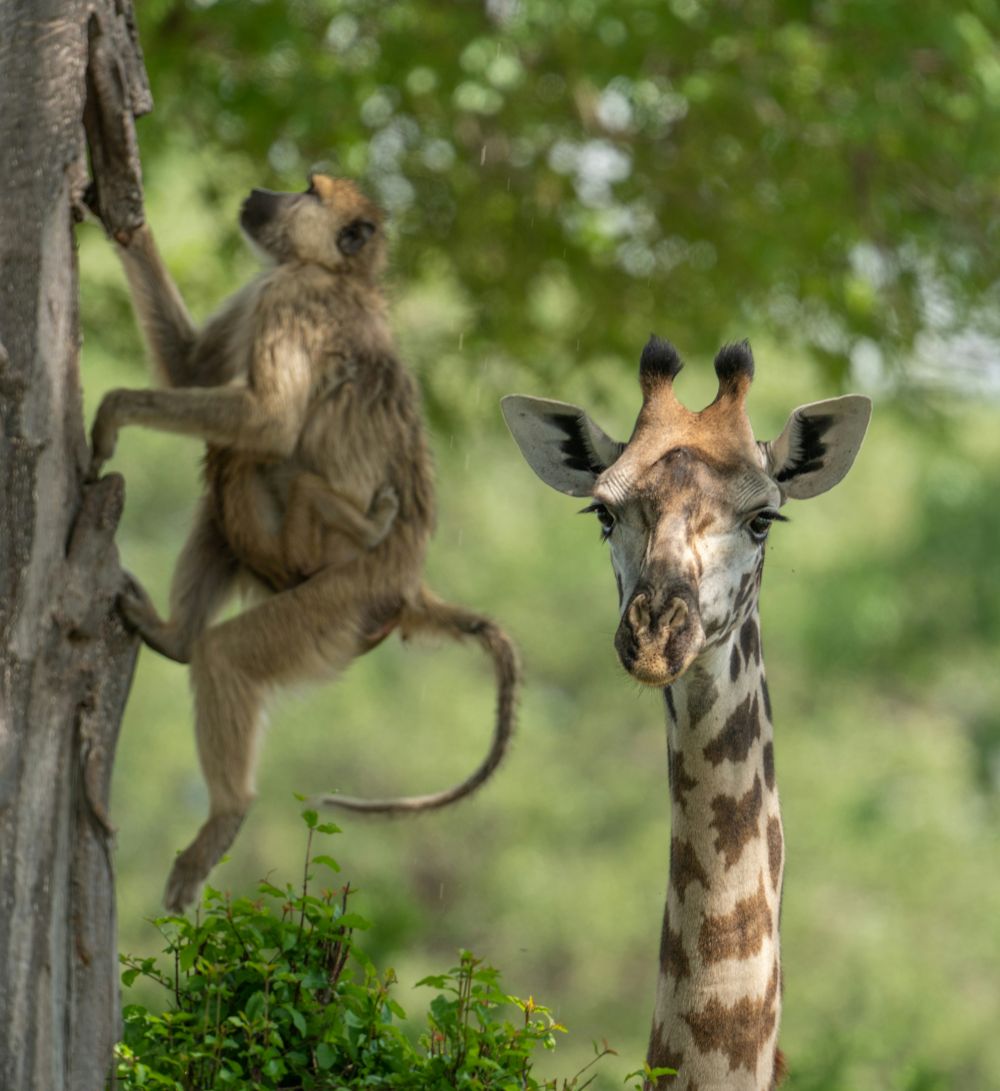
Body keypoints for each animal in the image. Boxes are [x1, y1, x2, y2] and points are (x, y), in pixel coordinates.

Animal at [90, 173, 519, 912]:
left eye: (309, 190)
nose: (262, 189)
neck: (338, 274)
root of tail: (410, 583)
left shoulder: (289, 294)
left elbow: (271, 421)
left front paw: (114, 408)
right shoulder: (268, 285)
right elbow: (189, 368)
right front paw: (119, 200)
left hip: (337, 600)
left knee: (231, 613)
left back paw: (226, 812)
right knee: (221, 493)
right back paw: (175, 636)